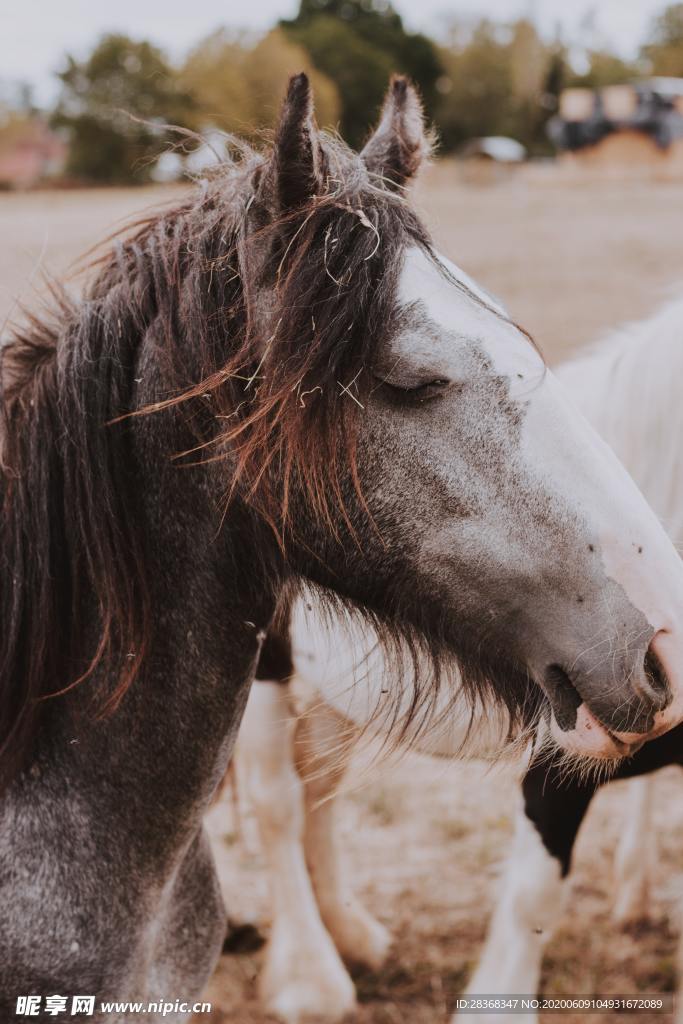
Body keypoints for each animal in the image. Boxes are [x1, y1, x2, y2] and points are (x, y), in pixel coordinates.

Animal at [234, 289, 683, 1023]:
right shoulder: (561, 753)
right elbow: (533, 894)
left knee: (318, 788)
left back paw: (349, 933)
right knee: (277, 801)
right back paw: (310, 978)